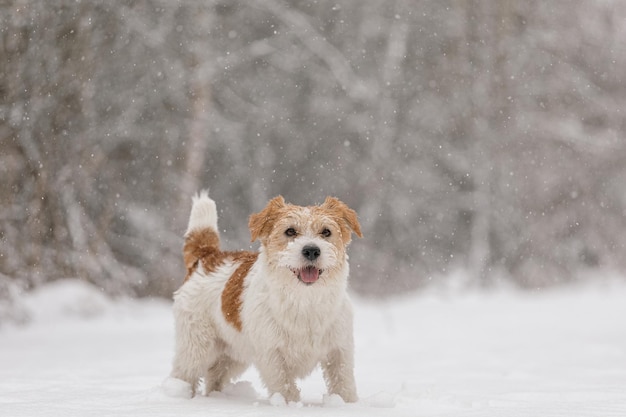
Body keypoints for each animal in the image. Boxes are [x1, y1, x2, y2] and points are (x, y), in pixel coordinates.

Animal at [166, 189, 360, 404]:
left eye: (326, 232)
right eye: (290, 231)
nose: (311, 250)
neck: (304, 299)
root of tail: (207, 256)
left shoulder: (339, 350)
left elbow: (343, 382)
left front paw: (346, 404)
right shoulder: (272, 355)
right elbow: (284, 385)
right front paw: (288, 404)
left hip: (233, 354)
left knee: (215, 375)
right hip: (196, 346)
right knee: (184, 372)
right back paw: (180, 394)